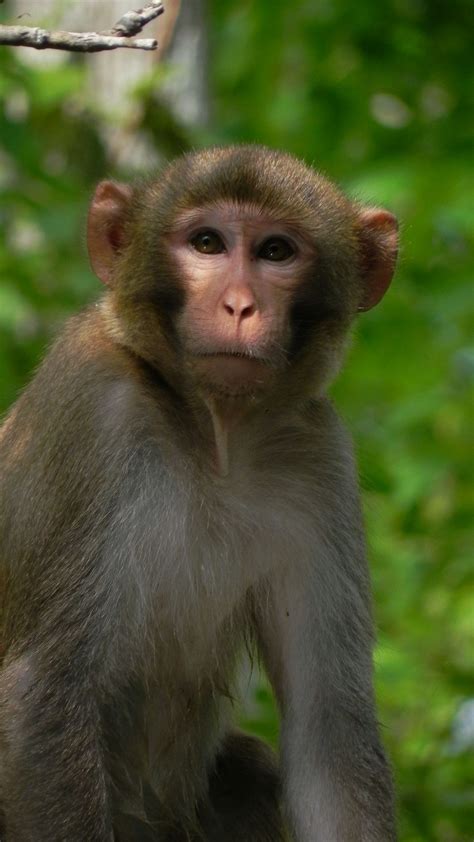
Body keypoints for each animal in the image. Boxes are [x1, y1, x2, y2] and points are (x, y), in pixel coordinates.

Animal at [0, 146, 400, 840]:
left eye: (275, 251)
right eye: (207, 243)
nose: (239, 306)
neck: (214, 438)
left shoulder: (318, 454)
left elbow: (330, 736)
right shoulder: (93, 403)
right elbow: (42, 695)